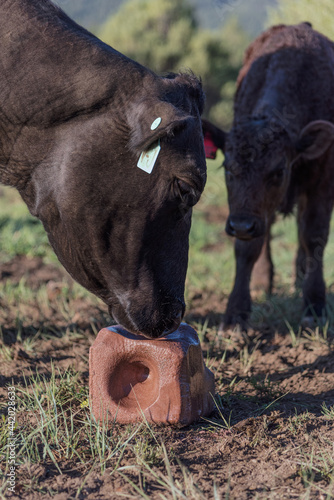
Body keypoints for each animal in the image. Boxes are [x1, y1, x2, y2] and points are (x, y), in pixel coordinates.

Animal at [202, 22, 334, 328]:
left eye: (278, 171)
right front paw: (236, 313)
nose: (241, 225)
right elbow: (247, 248)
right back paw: (263, 282)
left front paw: (314, 306)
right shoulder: (245, 212)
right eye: (228, 169)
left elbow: (314, 238)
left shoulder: (322, 183)